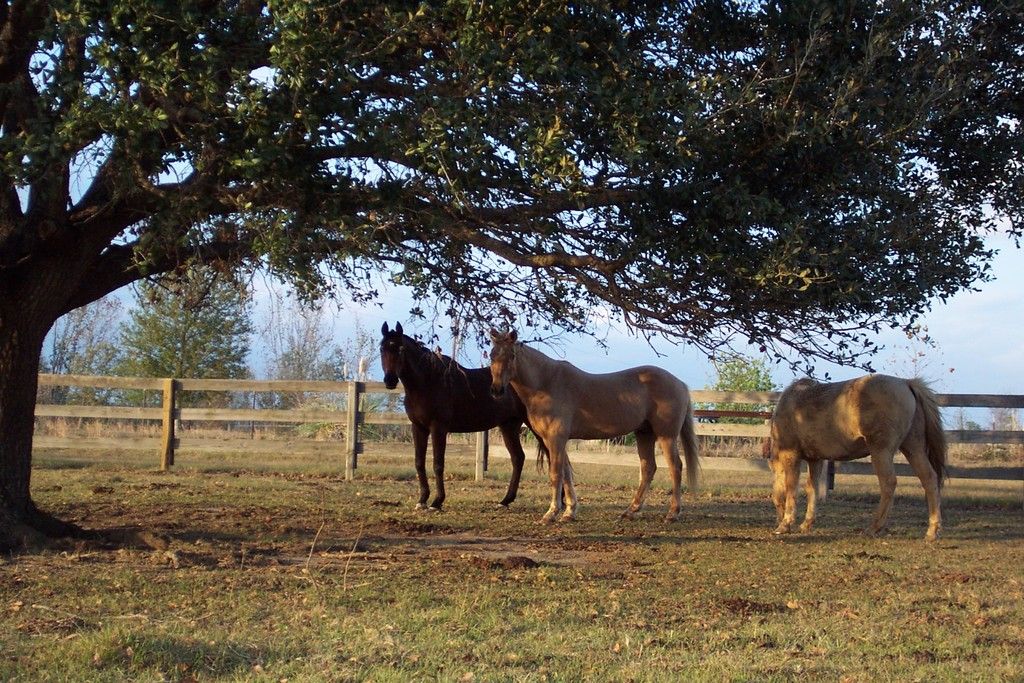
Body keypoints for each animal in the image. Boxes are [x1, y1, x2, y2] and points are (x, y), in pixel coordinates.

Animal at [380, 323, 540, 509]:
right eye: (382, 348)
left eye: (400, 349)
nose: (390, 380)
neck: (428, 383)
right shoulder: (418, 427)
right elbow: (419, 462)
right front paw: (422, 500)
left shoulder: (438, 428)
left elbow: (438, 464)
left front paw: (437, 501)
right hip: (509, 426)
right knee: (518, 458)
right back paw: (505, 500)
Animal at [485, 329, 696, 524]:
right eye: (492, 355)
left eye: (512, 355)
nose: (496, 390)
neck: (546, 384)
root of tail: (680, 383)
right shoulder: (556, 440)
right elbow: (566, 474)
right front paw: (569, 512)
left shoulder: (556, 438)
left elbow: (556, 474)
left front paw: (551, 514)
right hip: (644, 433)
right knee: (648, 468)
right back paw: (630, 511)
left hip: (666, 435)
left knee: (675, 467)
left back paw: (672, 513)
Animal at [765, 374, 946, 540]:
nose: (777, 520)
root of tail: (905, 383)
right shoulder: (815, 459)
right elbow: (812, 487)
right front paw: (806, 524)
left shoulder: (791, 455)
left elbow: (790, 487)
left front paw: (785, 524)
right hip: (913, 448)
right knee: (929, 479)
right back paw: (932, 531)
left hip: (881, 451)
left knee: (888, 483)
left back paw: (874, 528)